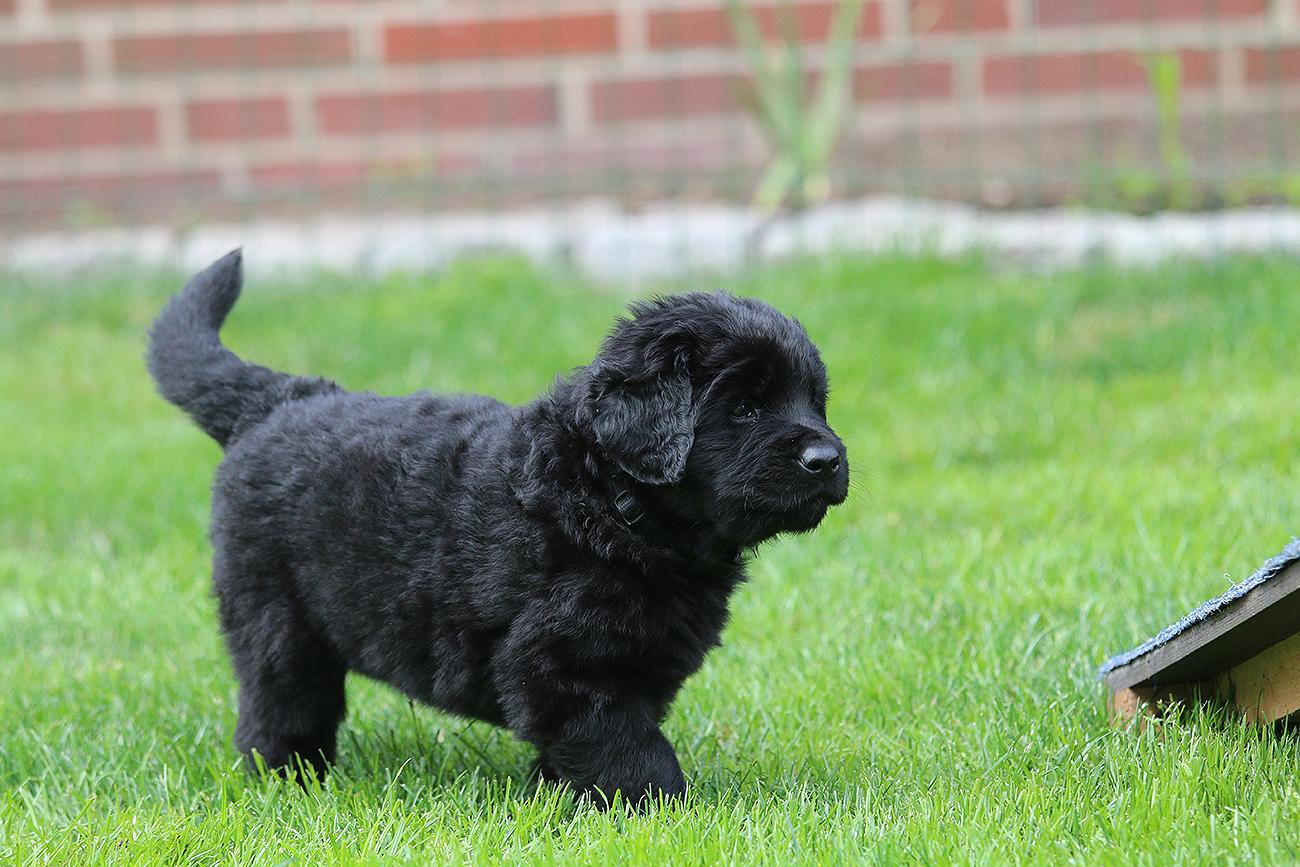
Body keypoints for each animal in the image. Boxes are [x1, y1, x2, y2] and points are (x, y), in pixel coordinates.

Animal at [148, 249, 848, 806]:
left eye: (816, 403)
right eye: (745, 407)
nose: (828, 459)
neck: (611, 504)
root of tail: (281, 399)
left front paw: (558, 799)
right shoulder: (563, 666)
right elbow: (631, 749)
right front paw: (666, 814)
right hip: (276, 615)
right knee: (281, 705)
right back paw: (291, 781)